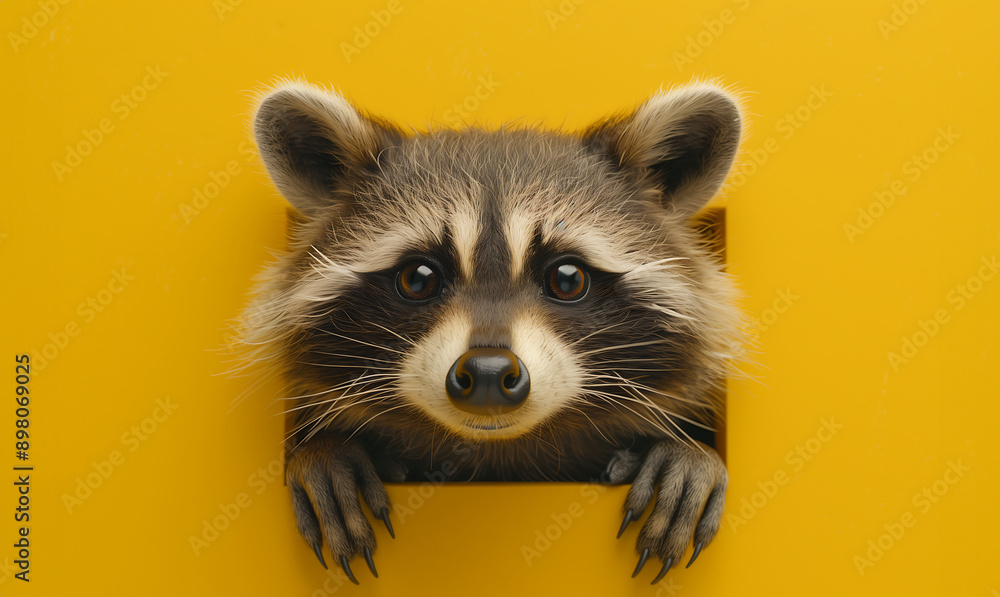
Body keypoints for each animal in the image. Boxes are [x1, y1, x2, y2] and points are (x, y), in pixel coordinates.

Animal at [238, 80, 744, 585]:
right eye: (418, 278)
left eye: (567, 279)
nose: (486, 372)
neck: (498, 454)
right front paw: (324, 452)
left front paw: (690, 454)